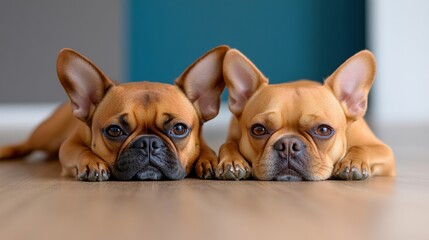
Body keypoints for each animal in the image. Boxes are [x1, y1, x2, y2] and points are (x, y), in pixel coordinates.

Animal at [0, 45, 227, 181]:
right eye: (114, 131)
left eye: (179, 129)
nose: (148, 142)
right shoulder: (68, 146)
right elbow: (81, 151)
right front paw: (92, 163)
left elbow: (206, 149)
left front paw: (208, 160)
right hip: (47, 135)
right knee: (26, 144)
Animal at [217, 48, 394, 180]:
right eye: (259, 129)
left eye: (323, 130)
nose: (288, 144)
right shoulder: (233, 137)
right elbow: (228, 144)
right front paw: (232, 162)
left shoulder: (384, 151)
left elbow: (361, 147)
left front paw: (352, 163)